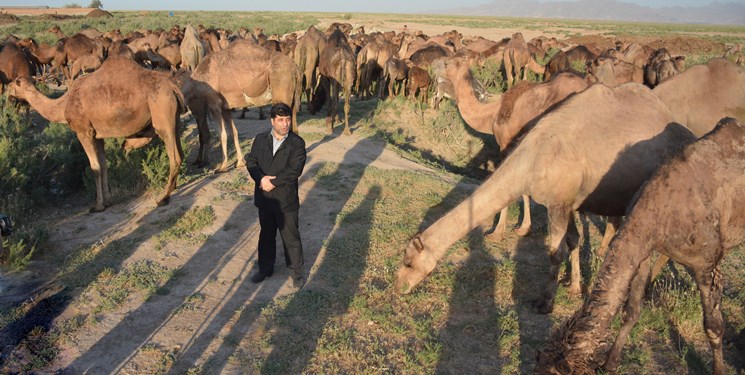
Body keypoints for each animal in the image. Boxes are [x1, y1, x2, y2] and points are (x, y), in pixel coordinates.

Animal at [7, 57, 186, 213]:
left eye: (12, 85)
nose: (7, 95)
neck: (63, 105)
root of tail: (173, 87)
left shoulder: (84, 132)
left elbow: (95, 168)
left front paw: (97, 206)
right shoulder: (98, 136)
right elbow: (104, 165)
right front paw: (108, 201)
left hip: (162, 114)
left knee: (174, 156)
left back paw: (163, 197)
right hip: (174, 119)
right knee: (180, 151)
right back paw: (173, 186)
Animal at [396, 83, 696, 316]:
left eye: (409, 261)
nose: (399, 285)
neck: (533, 157)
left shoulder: (558, 203)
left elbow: (555, 252)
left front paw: (545, 303)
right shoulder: (568, 202)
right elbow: (573, 241)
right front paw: (574, 287)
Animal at [436, 55, 588, 244]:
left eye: (449, 62)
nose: (436, 66)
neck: (492, 114)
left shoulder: (506, 144)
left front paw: (496, 233)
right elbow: (524, 192)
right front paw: (524, 228)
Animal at [536, 117, 744, 375]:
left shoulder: (706, 264)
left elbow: (713, 327)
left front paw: (719, 369)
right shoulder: (643, 250)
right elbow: (631, 310)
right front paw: (610, 362)